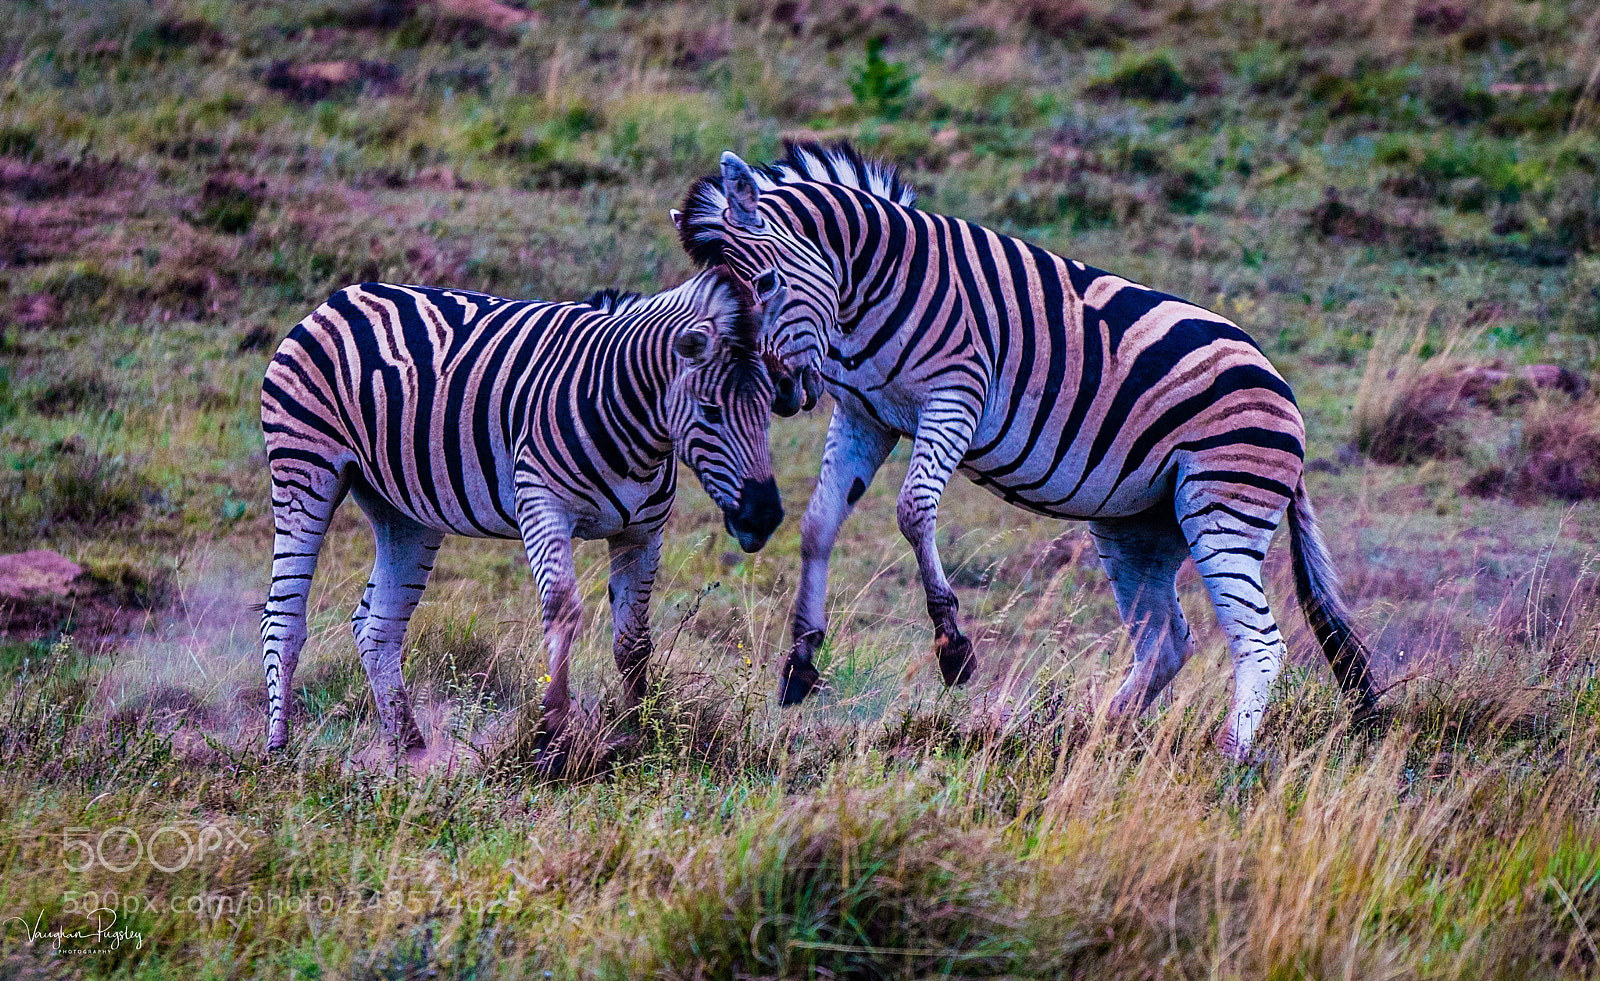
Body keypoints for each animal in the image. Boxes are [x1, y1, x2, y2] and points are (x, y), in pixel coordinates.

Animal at [258, 268, 784, 770]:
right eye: (711, 412)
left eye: (769, 406)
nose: (765, 517)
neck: (629, 416)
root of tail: (343, 296)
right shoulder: (542, 506)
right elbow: (563, 612)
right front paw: (552, 739)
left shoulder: (643, 533)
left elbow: (633, 642)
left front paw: (638, 731)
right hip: (304, 470)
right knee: (282, 618)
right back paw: (280, 753)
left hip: (403, 511)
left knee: (378, 626)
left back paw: (410, 751)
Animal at [673, 141, 1377, 759]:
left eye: (767, 282)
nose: (780, 393)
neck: (873, 287)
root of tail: (1282, 389)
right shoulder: (864, 416)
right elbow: (819, 524)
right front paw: (800, 661)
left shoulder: (957, 395)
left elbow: (913, 510)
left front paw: (954, 649)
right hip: (1139, 524)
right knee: (1165, 641)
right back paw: (1094, 739)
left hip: (1221, 504)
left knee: (1259, 642)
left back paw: (1228, 758)